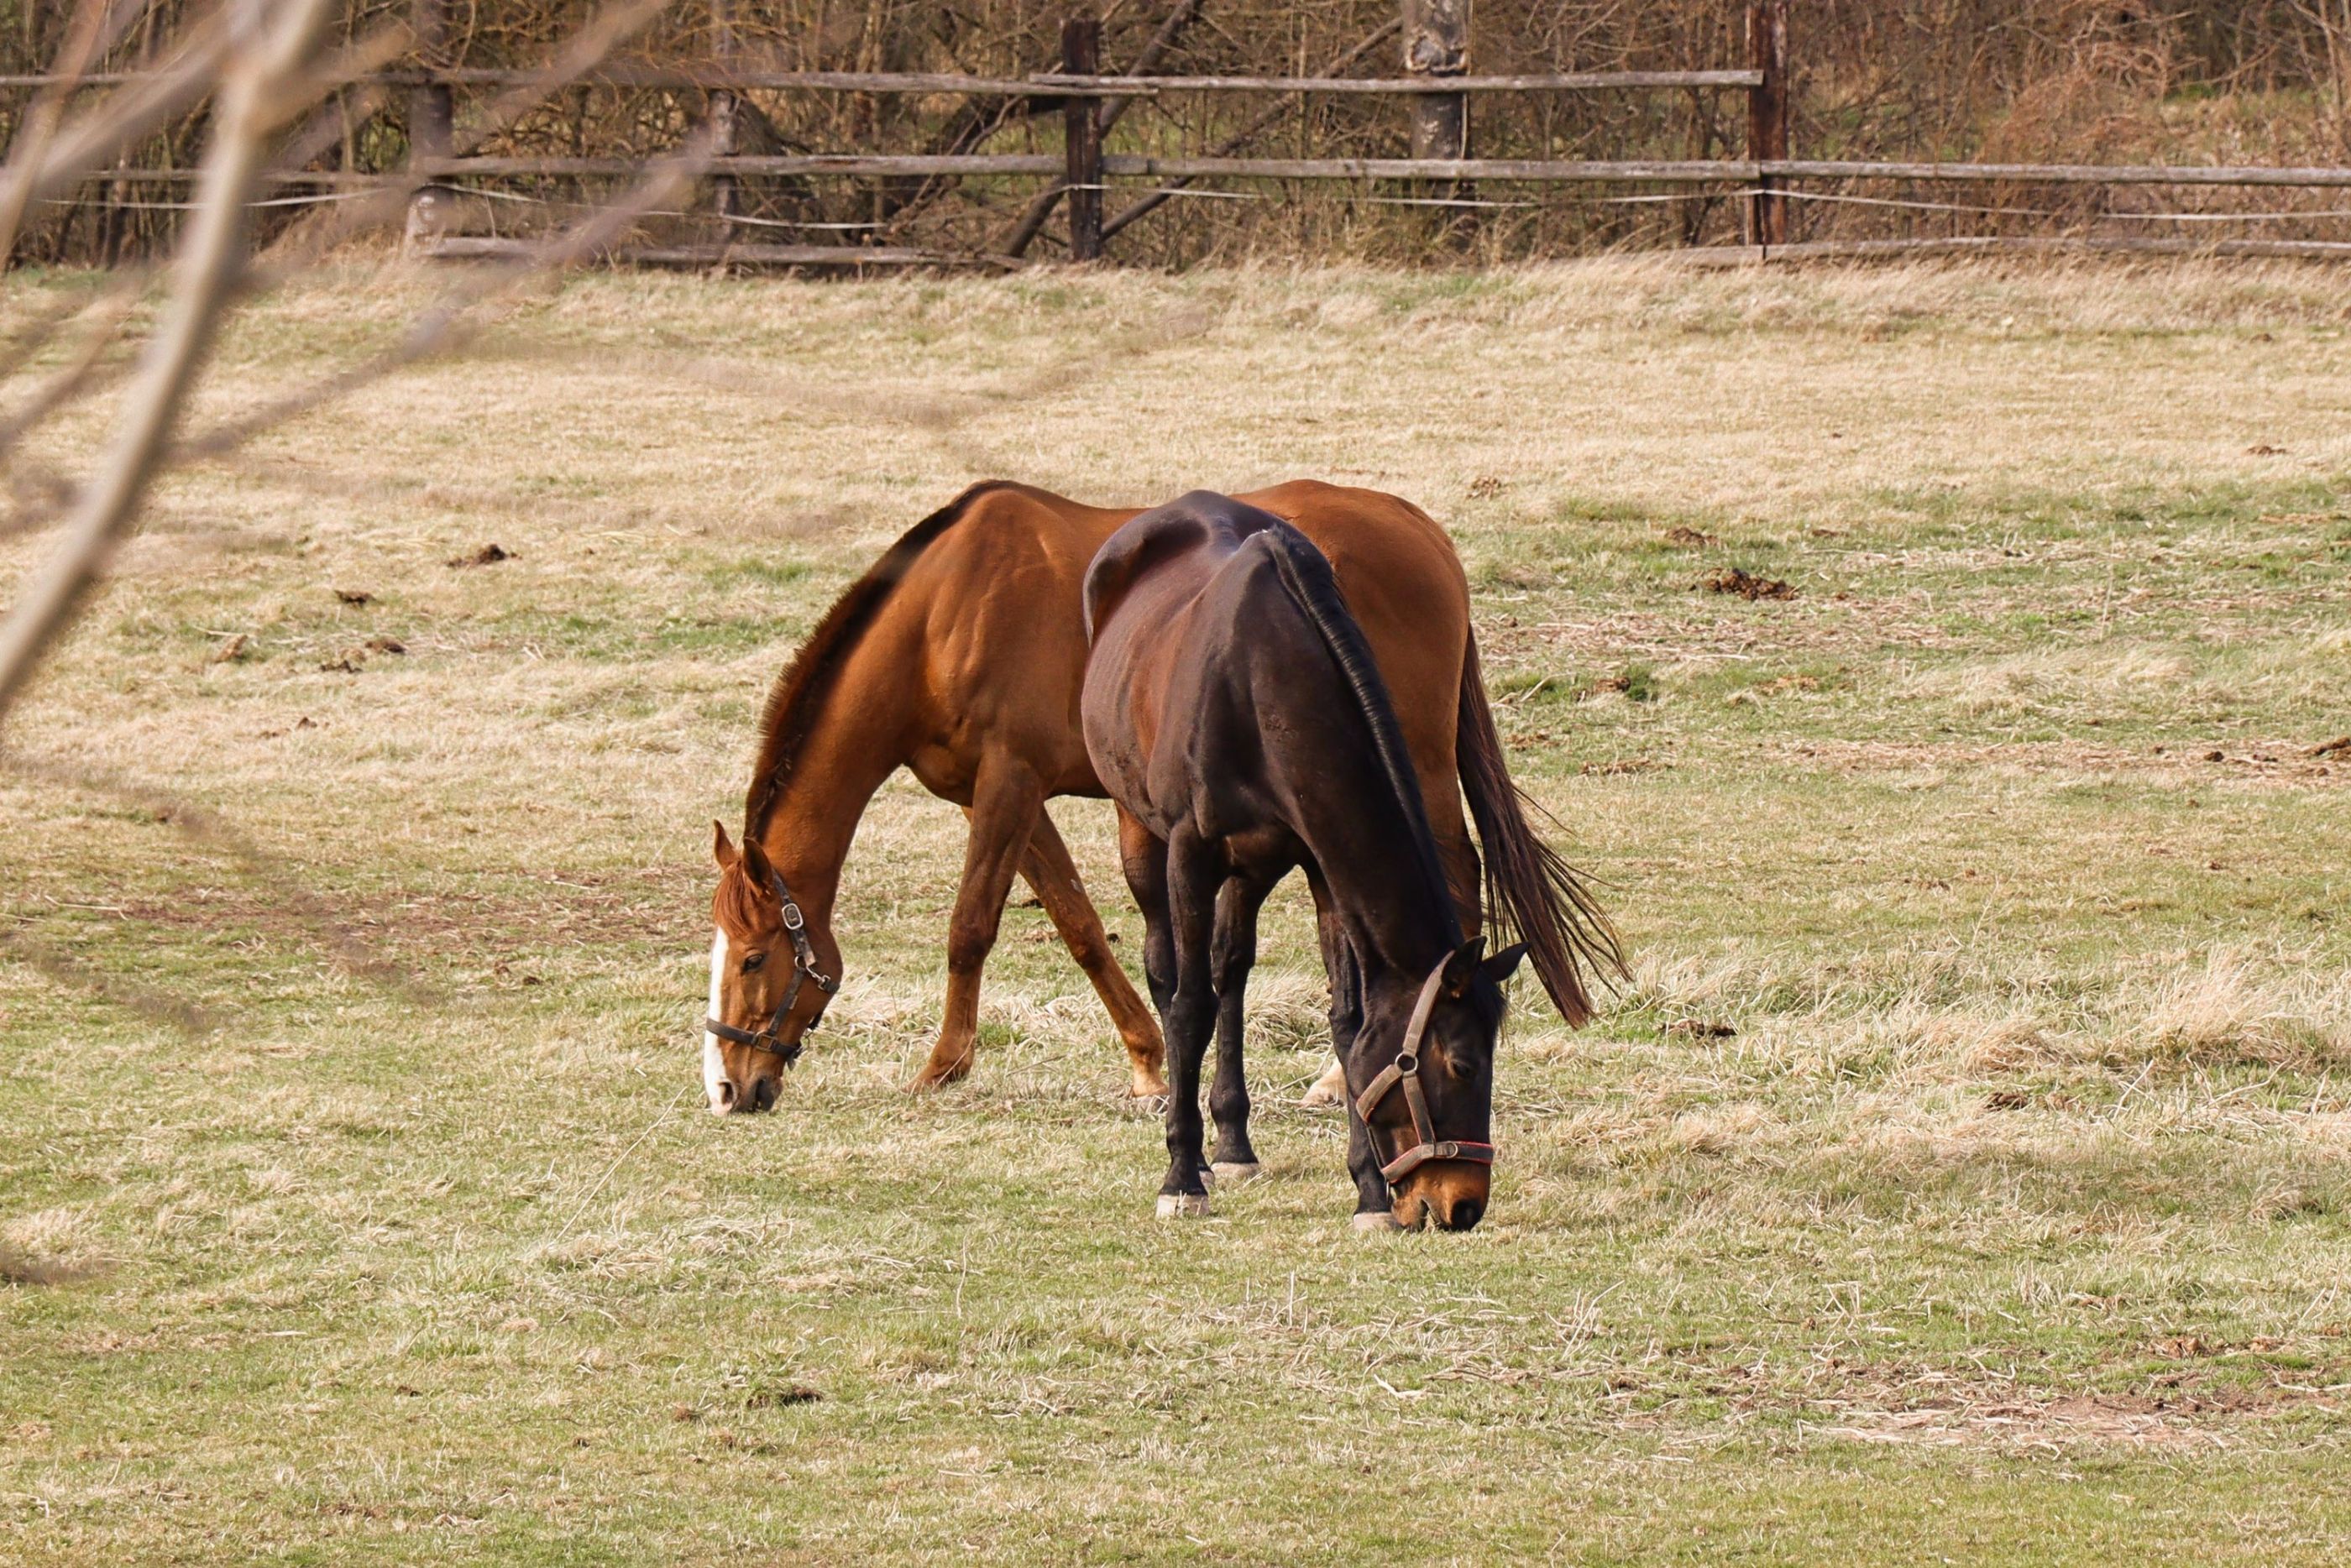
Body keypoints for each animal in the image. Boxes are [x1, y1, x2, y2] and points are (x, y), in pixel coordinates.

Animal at [695, 479, 1617, 1114]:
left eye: (752, 959)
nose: (728, 1086)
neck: (942, 613)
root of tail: (1420, 531)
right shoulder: (1008, 797)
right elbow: (1077, 925)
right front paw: (1148, 1060)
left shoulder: (1007, 782)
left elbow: (971, 928)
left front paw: (942, 1065)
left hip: (1414, 766)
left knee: (1452, 886)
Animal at [1076, 495, 1523, 1231]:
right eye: (1461, 1065)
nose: (1462, 1205)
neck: (1262, 675)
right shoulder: (1190, 852)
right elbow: (1190, 1007)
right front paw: (1181, 1178)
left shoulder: (1320, 865)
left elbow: (1347, 1019)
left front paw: (1369, 1192)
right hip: (1139, 832)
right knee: (1172, 976)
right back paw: (1196, 1153)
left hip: (1252, 868)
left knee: (1230, 967)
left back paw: (1231, 1142)